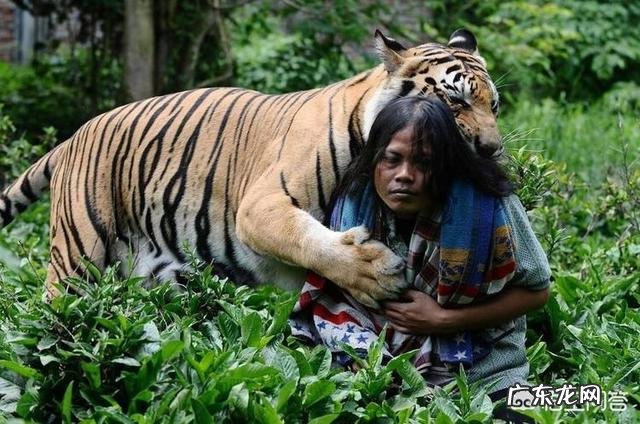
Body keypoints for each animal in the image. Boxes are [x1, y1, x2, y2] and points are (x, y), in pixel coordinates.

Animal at [0, 29, 502, 307]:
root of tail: (74, 136)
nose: (493, 149)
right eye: (455, 101)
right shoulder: (260, 205)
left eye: (494, 105)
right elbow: (308, 239)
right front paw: (371, 273)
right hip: (77, 260)